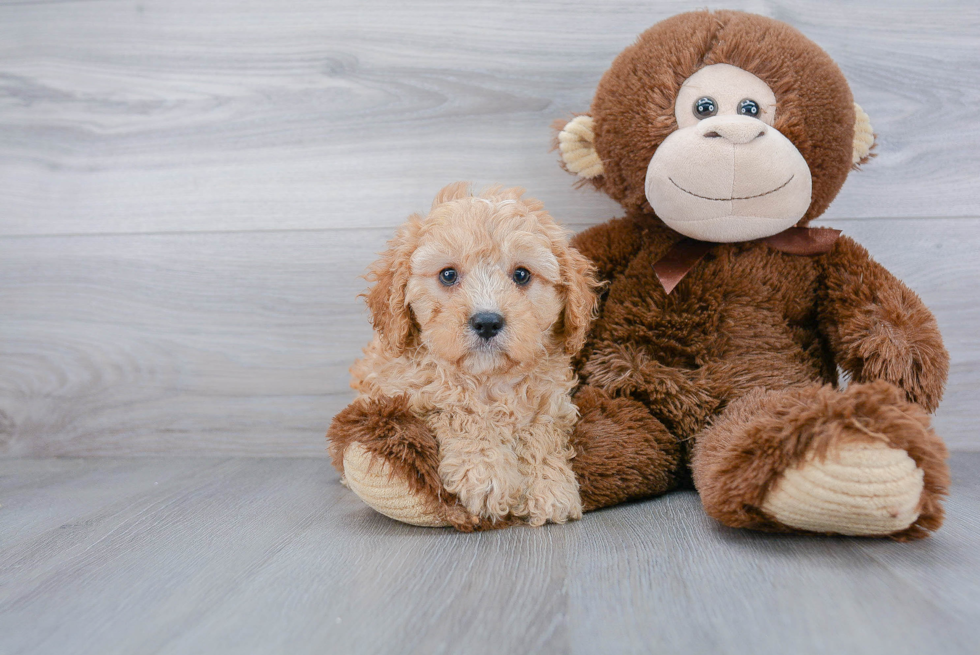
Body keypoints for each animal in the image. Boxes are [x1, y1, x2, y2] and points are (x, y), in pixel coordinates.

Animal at [332, 183, 596, 528]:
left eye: (522, 275)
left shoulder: (552, 403)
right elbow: (460, 414)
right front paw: (485, 474)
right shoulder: (409, 396)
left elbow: (541, 433)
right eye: (447, 275)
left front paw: (550, 487)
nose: (487, 322)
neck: (487, 379)